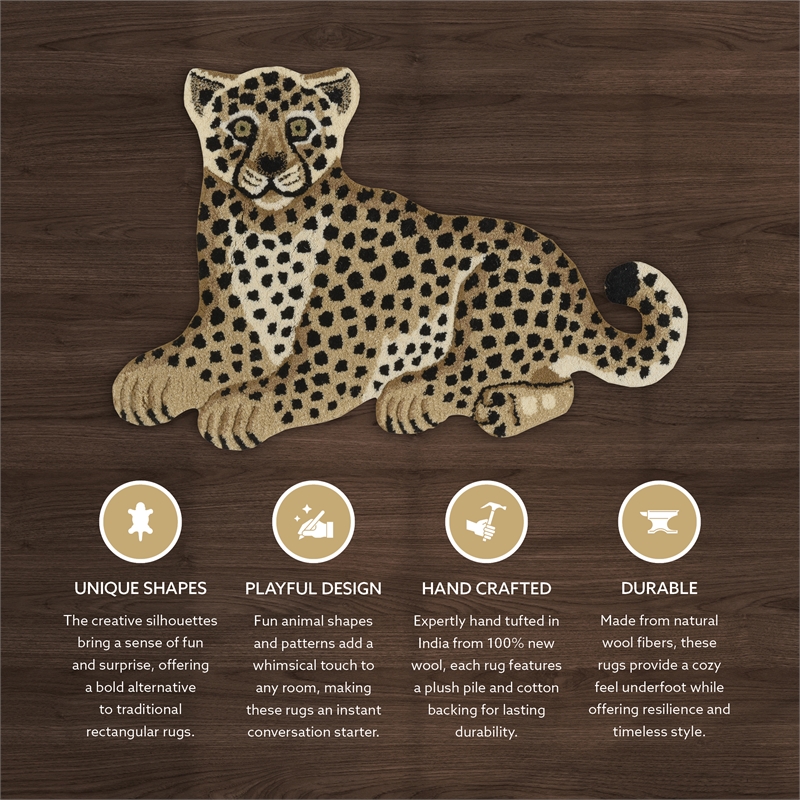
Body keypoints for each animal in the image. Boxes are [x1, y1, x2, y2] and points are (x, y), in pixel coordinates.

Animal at [113, 65, 688, 450]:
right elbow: (188, 354)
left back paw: (411, 397)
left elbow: (286, 387)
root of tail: (578, 288)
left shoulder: (332, 360)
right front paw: (142, 381)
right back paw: (507, 407)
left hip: (493, 287)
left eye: (298, 128)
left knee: (466, 366)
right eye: (240, 128)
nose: (273, 165)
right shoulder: (234, 328)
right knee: (561, 384)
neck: (266, 226)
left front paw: (232, 409)